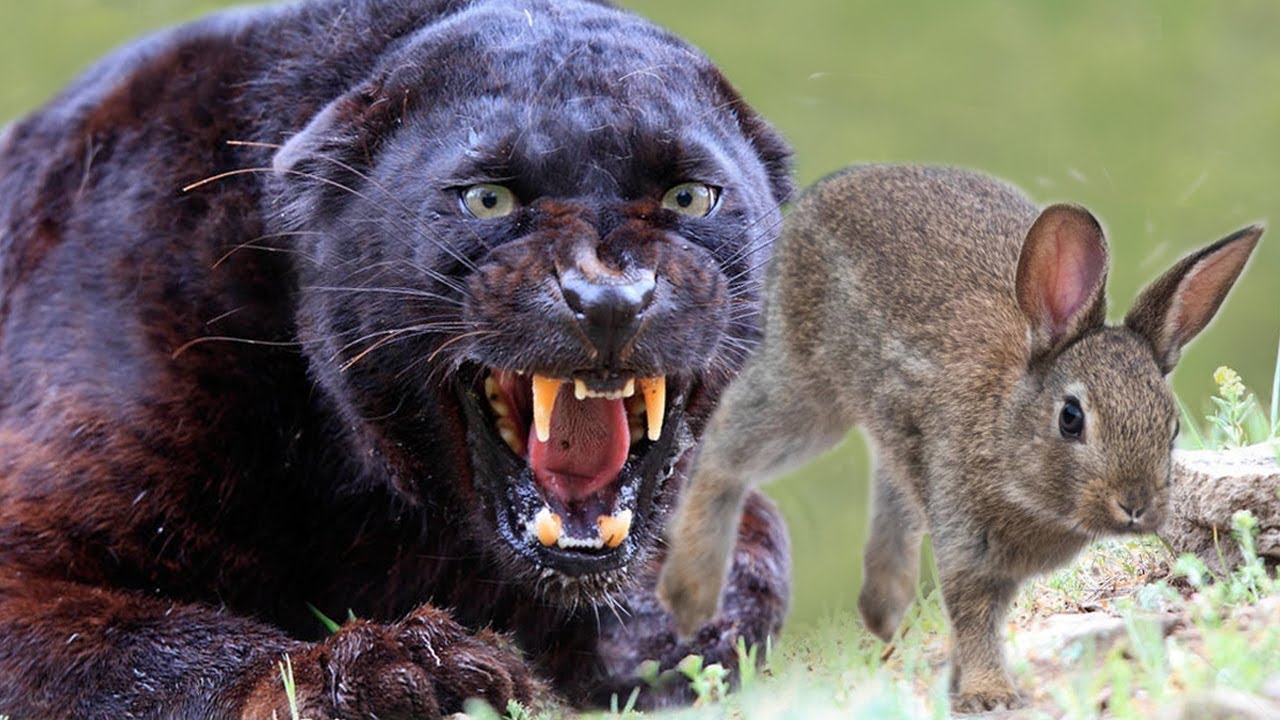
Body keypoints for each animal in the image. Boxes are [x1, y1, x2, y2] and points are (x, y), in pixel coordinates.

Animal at [656, 164, 1262, 711]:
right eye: (1071, 417)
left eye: (1172, 425)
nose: (1136, 506)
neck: (1005, 427)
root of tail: (821, 195)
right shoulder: (967, 543)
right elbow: (973, 617)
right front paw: (989, 693)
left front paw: (961, 686)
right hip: (808, 392)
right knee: (723, 452)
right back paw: (688, 598)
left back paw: (883, 613)